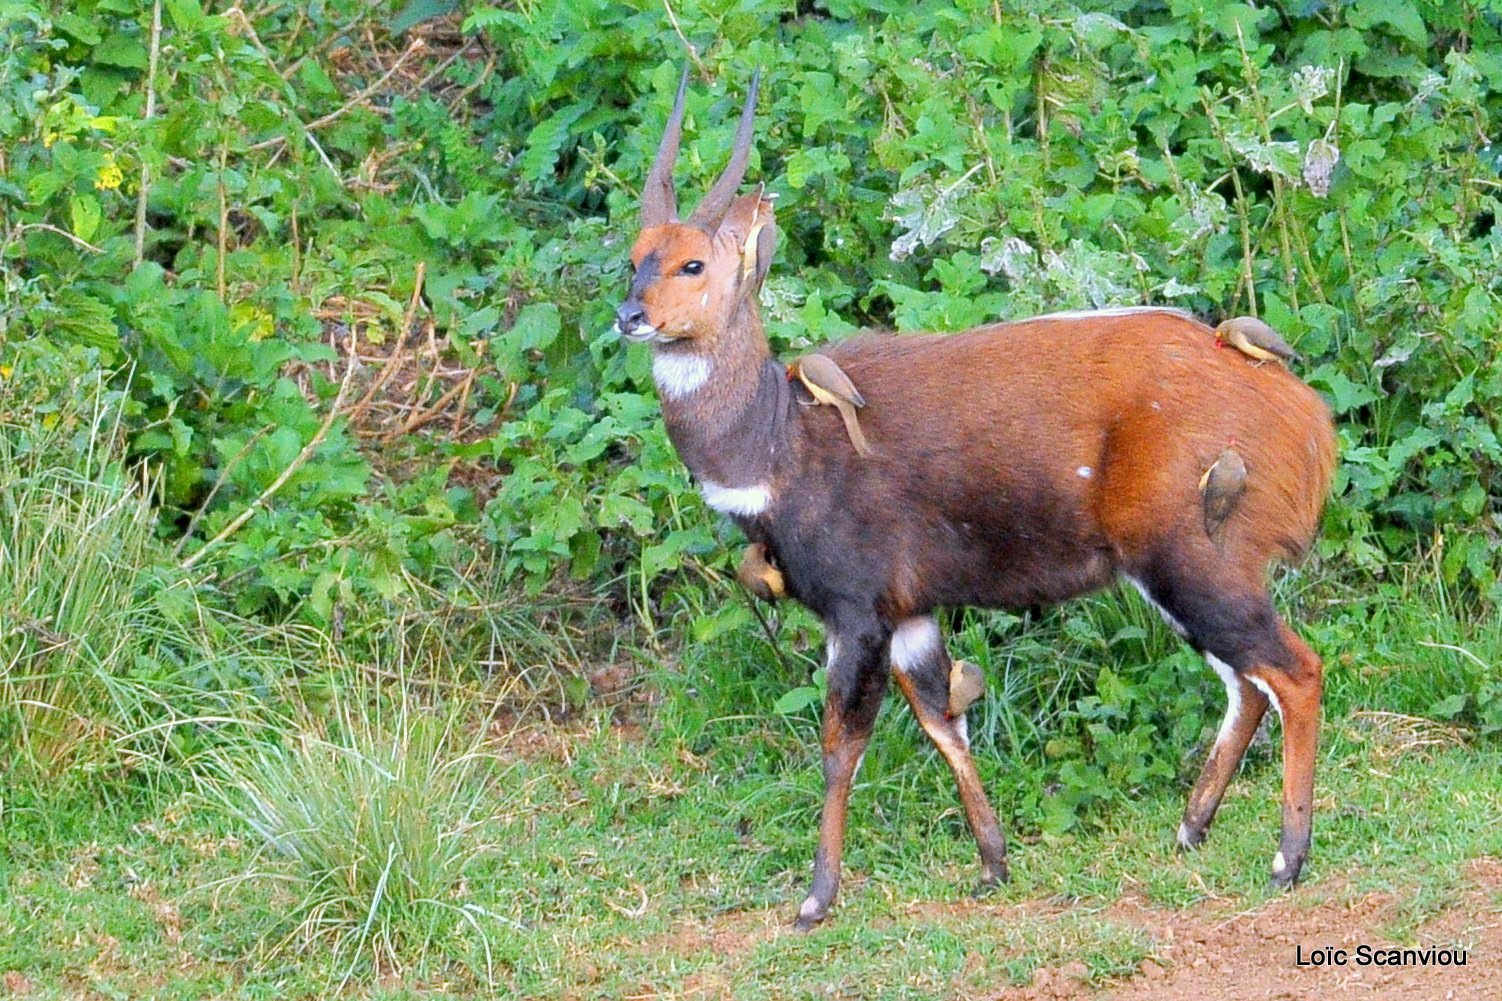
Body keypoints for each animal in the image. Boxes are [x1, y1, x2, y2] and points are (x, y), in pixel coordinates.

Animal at [612, 72, 1339, 925]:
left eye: (693, 265)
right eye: (633, 260)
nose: (630, 316)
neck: (783, 442)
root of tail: (1305, 418)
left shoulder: (857, 610)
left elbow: (841, 744)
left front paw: (816, 898)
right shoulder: (912, 613)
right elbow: (942, 718)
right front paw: (993, 863)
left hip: (1191, 561)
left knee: (1295, 669)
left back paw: (1287, 857)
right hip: (1180, 573)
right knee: (1246, 682)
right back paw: (1191, 829)